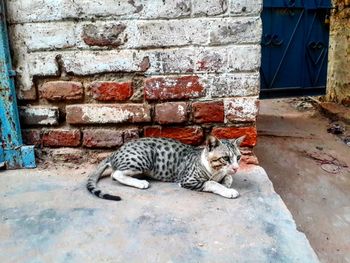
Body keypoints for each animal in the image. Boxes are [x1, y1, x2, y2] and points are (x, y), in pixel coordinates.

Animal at [86, 135, 245, 201]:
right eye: (225, 158)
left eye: (238, 157)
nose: (236, 168)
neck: (215, 170)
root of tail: (115, 151)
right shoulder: (188, 180)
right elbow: (211, 183)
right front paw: (228, 190)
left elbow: (228, 177)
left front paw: (226, 182)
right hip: (143, 156)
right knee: (116, 174)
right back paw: (141, 182)